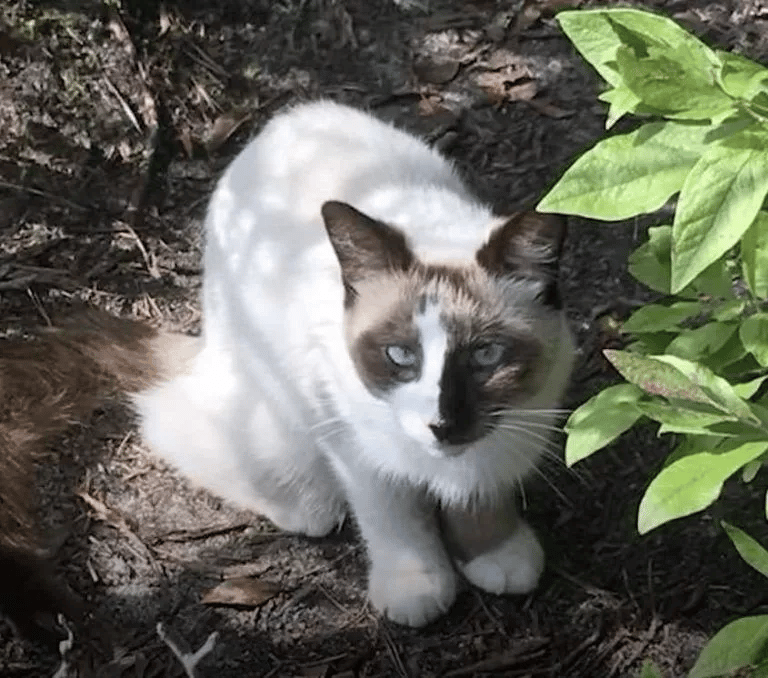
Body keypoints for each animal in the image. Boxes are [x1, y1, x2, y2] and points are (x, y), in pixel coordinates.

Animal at [134, 99, 576, 628]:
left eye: (486, 356)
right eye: (400, 355)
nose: (442, 424)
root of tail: (285, 118)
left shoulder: (506, 429)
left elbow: (480, 494)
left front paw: (496, 554)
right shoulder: (357, 447)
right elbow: (393, 518)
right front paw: (416, 588)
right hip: (277, 423)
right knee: (178, 429)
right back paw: (305, 507)